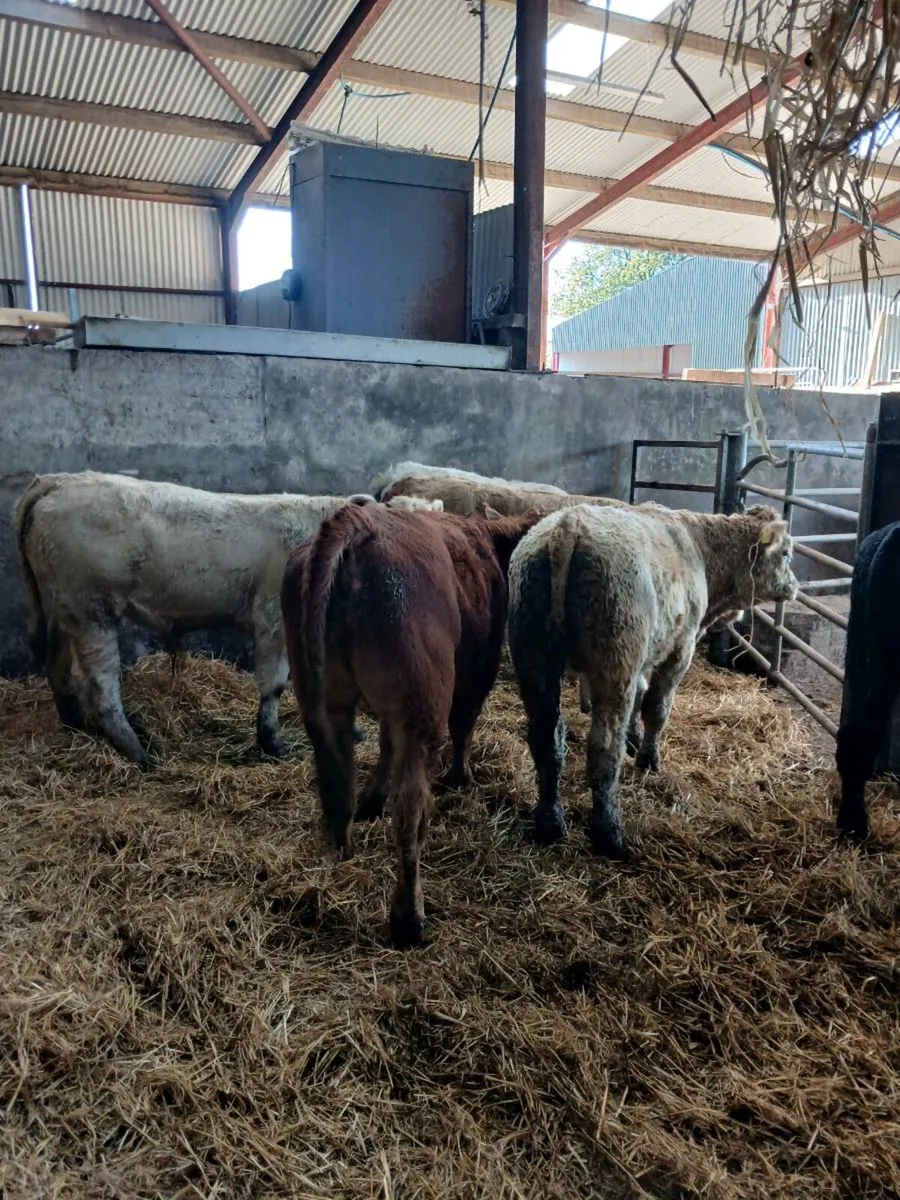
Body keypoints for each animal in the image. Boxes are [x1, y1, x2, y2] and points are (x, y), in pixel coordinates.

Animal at [14, 471, 377, 765]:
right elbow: (274, 685)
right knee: (101, 687)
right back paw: (140, 754)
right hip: (91, 610)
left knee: (58, 666)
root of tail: (59, 481)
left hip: (61, 609)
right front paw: (273, 742)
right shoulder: (273, 621)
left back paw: (77, 725)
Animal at [281, 503, 540, 948]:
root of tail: (355, 523)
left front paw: (373, 798)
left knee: (336, 782)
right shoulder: (479, 667)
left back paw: (342, 852)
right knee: (411, 810)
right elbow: (464, 723)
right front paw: (461, 777)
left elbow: (385, 746)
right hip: (422, 703)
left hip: (325, 699)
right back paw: (409, 919)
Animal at [508, 503, 798, 859]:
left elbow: (640, 696)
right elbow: (656, 707)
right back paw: (608, 834)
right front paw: (648, 758)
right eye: (786, 553)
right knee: (605, 747)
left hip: (534, 657)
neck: (701, 549)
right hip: (614, 661)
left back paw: (550, 822)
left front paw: (635, 738)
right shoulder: (680, 648)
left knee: (546, 740)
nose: (794, 586)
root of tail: (568, 525)